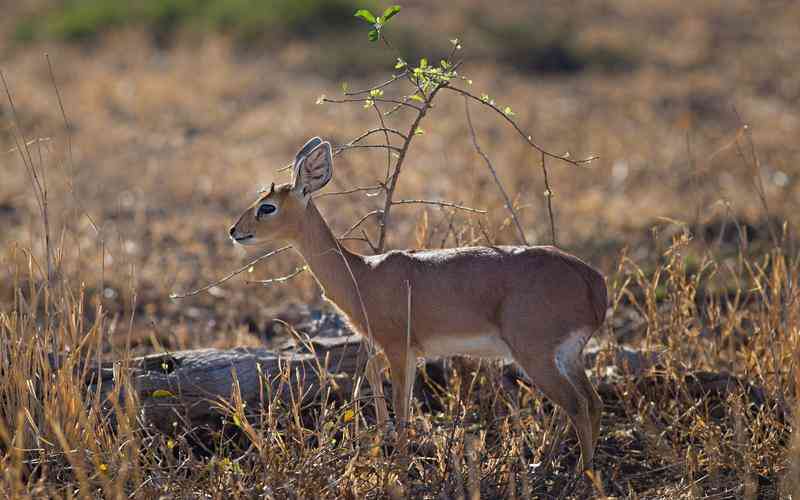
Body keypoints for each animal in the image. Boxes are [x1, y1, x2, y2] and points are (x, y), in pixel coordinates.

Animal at [228, 136, 608, 468]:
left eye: (267, 206)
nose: (234, 231)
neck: (362, 275)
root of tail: (592, 280)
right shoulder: (405, 352)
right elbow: (388, 394)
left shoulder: (399, 348)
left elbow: (401, 407)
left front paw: (398, 467)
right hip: (568, 355)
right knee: (593, 402)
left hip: (536, 355)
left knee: (576, 405)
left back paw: (579, 473)